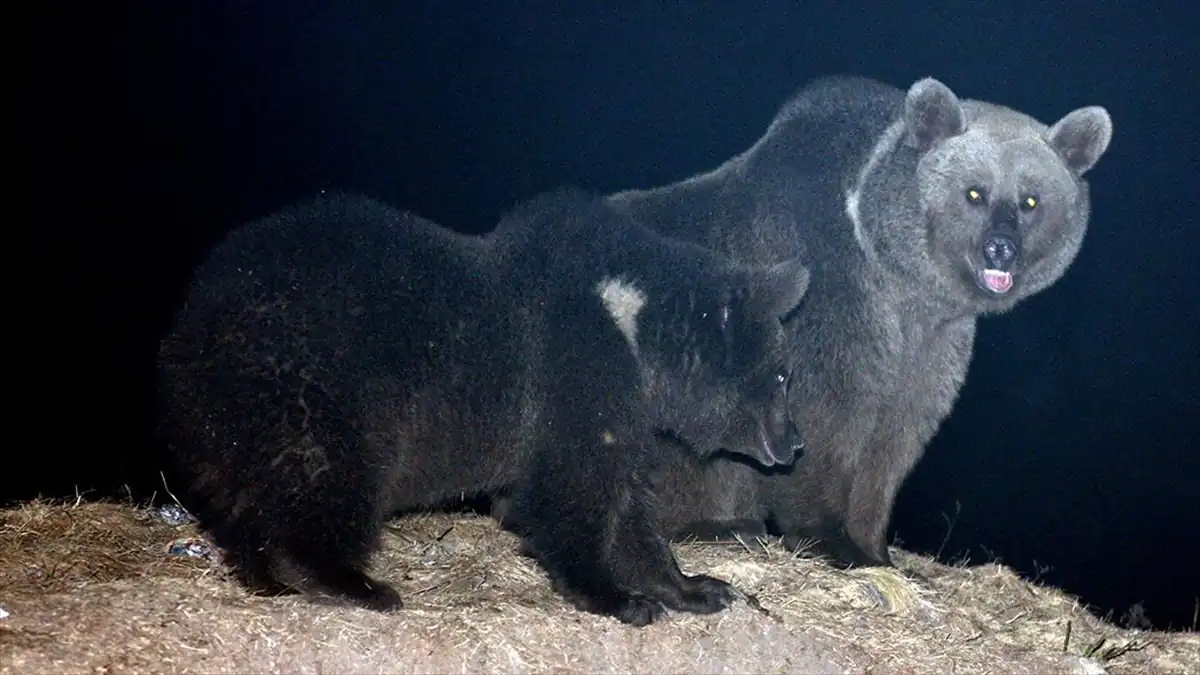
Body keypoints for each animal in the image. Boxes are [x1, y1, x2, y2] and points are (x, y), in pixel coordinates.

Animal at [154, 184, 811, 624]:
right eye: (783, 375)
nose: (796, 442)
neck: (637, 337)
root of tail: (192, 322)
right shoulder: (575, 372)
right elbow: (573, 493)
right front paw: (618, 597)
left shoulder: (625, 410)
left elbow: (629, 502)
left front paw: (698, 586)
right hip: (316, 384)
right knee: (325, 474)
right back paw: (350, 583)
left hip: (225, 418)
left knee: (243, 490)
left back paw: (264, 576)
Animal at [600, 74, 1113, 566]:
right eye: (975, 192)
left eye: (1031, 201)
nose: (1000, 248)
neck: (897, 273)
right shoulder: (829, 294)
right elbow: (827, 410)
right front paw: (828, 537)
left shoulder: (932, 342)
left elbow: (897, 434)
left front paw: (875, 547)